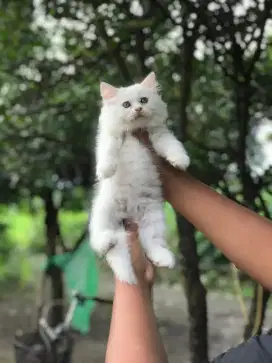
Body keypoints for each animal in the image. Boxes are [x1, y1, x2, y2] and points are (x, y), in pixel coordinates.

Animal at [89, 72, 189, 286]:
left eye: (144, 100)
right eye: (126, 104)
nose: (138, 109)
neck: (135, 133)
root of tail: (130, 212)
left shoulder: (158, 135)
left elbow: (172, 145)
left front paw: (181, 161)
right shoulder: (111, 137)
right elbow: (108, 151)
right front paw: (105, 170)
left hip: (153, 218)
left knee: (153, 244)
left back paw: (165, 259)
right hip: (103, 215)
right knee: (100, 241)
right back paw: (108, 241)